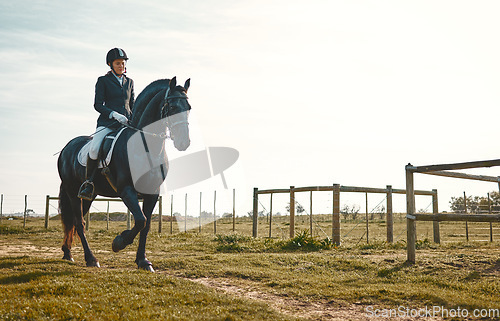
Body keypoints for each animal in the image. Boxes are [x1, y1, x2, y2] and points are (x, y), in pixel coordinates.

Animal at [57, 77, 191, 270]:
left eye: (189, 108)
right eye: (172, 107)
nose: (183, 142)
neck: (146, 147)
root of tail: (66, 148)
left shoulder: (152, 193)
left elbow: (146, 225)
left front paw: (143, 260)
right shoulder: (126, 190)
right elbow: (141, 220)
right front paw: (119, 242)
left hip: (88, 195)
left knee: (75, 221)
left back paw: (68, 253)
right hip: (72, 191)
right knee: (79, 223)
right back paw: (91, 259)